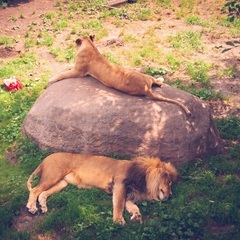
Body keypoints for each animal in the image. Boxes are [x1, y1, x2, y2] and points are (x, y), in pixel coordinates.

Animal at [26, 153, 178, 224]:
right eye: (169, 182)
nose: (171, 195)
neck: (144, 181)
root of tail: (45, 159)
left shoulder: (130, 193)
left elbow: (131, 205)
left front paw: (136, 215)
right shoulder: (119, 184)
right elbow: (119, 204)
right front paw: (118, 220)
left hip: (62, 183)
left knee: (42, 193)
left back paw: (43, 206)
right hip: (53, 175)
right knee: (34, 190)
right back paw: (32, 207)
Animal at [48, 35, 191, 116]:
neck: (91, 46)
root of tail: (145, 88)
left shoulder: (78, 71)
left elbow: (63, 73)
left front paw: (51, 79)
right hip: (144, 75)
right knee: (156, 80)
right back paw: (160, 79)